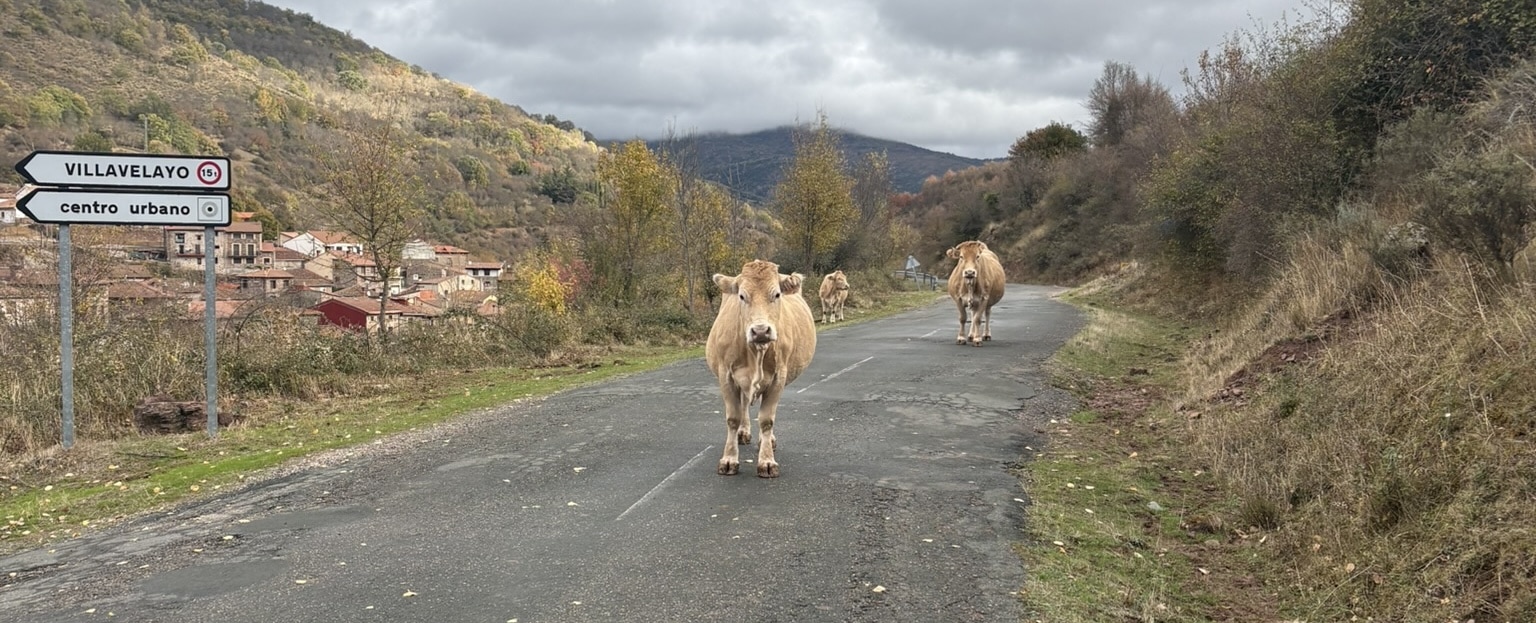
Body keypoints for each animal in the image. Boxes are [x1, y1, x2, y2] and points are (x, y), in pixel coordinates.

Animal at [706, 260, 818, 477]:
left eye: (777, 295)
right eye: (742, 296)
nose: (760, 331)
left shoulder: (778, 378)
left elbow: (767, 420)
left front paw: (766, 461)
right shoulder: (726, 376)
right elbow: (733, 418)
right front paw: (729, 459)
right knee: (743, 404)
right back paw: (743, 433)